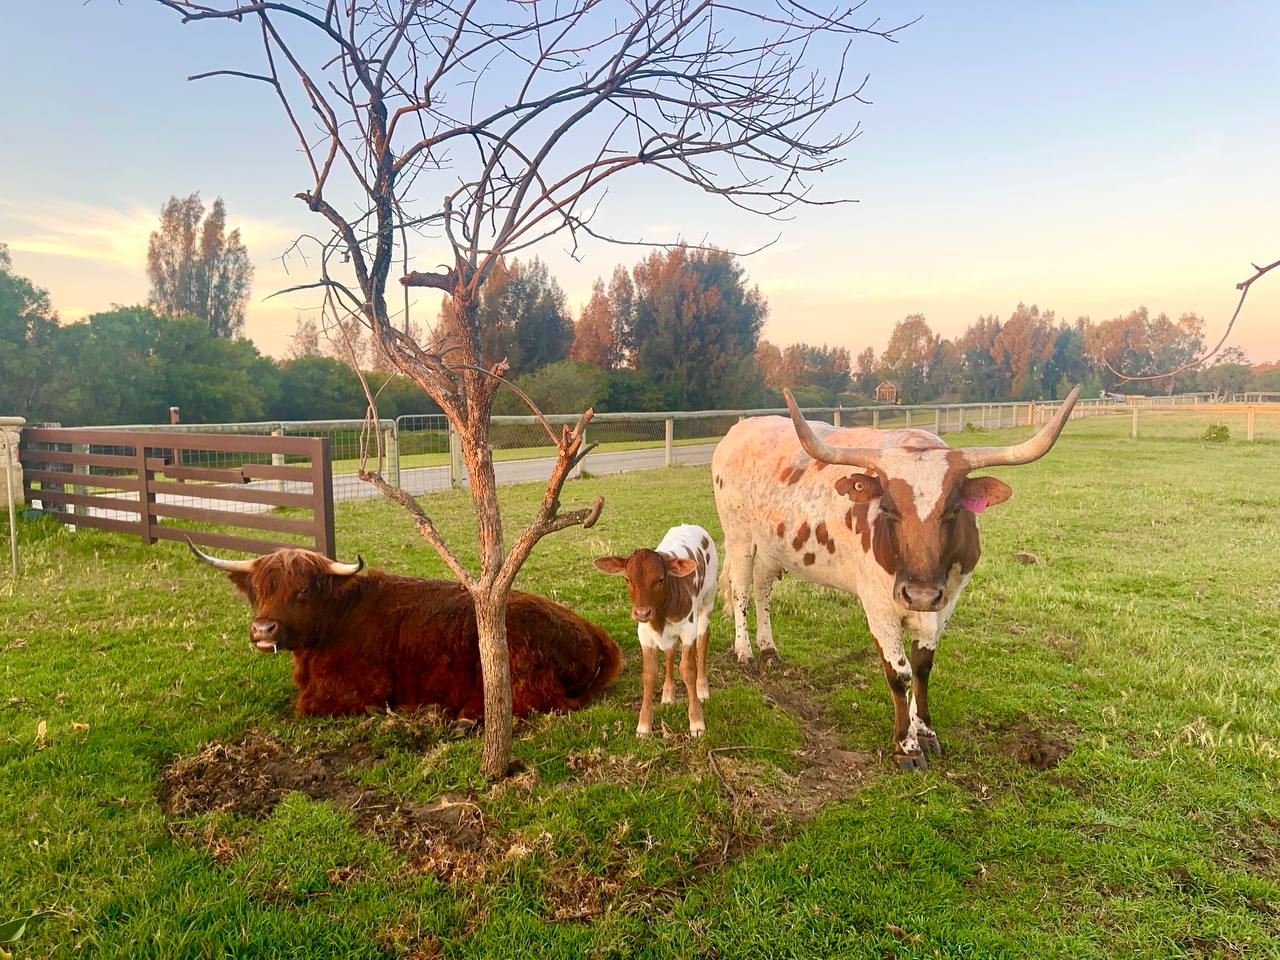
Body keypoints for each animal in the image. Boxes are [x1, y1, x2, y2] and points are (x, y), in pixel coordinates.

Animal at [189, 543, 623, 719]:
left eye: (303, 590)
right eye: (258, 591)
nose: (263, 629)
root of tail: (593, 632)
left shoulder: (360, 688)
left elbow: (306, 705)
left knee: (534, 699)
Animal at [593, 524, 718, 737]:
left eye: (660, 580)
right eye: (627, 579)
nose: (642, 612)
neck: (660, 614)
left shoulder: (688, 629)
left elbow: (688, 669)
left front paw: (696, 721)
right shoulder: (644, 635)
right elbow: (649, 673)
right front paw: (644, 725)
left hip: (707, 600)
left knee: (702, 640)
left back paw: (702, 688)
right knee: (670, 651)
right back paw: (668, 693)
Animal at [712, 387, 1081, 770]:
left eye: (954, 509)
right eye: (887, 508)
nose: (919, 595)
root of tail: (740, 430)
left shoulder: (946, 602)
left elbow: (922, 667)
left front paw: (926, 731)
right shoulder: (879, 605)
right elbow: (899, 672)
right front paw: (906, 746)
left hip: (772, 547)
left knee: (762, 588)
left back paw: (769, 649)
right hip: (739, 538)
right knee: (741, 591)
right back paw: (745, 652)